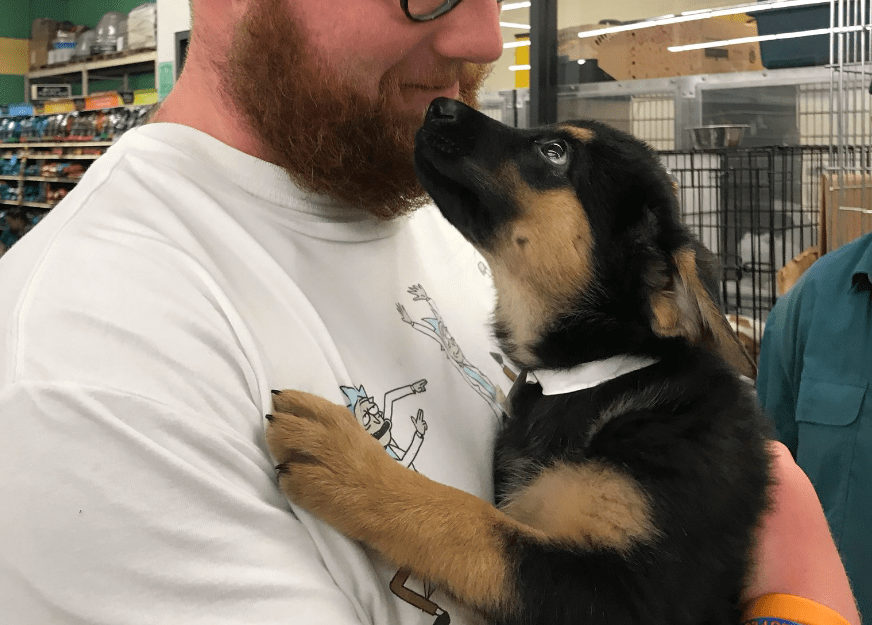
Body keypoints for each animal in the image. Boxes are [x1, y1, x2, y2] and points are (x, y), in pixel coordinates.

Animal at [267, 98, 772, 625]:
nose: (438, 105)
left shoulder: (636, 592)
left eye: (554, 152)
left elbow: (470, 522)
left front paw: (353, 464)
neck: (589, 377)